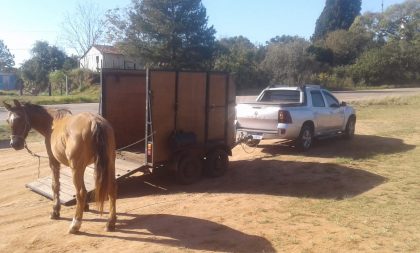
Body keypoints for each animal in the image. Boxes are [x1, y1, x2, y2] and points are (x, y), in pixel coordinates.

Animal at [3, 99, 116, 233]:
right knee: (111, 189)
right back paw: (110, 222)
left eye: (20, 119)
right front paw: (85, 206)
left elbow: (55, 185)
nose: (14, 144)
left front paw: (55, 211)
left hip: (76, 167)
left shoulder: (54, 162)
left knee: (81, 192)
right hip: (109, 164)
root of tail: (95, 121)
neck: (51, 123)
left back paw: (75, 224)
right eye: (8, 121)